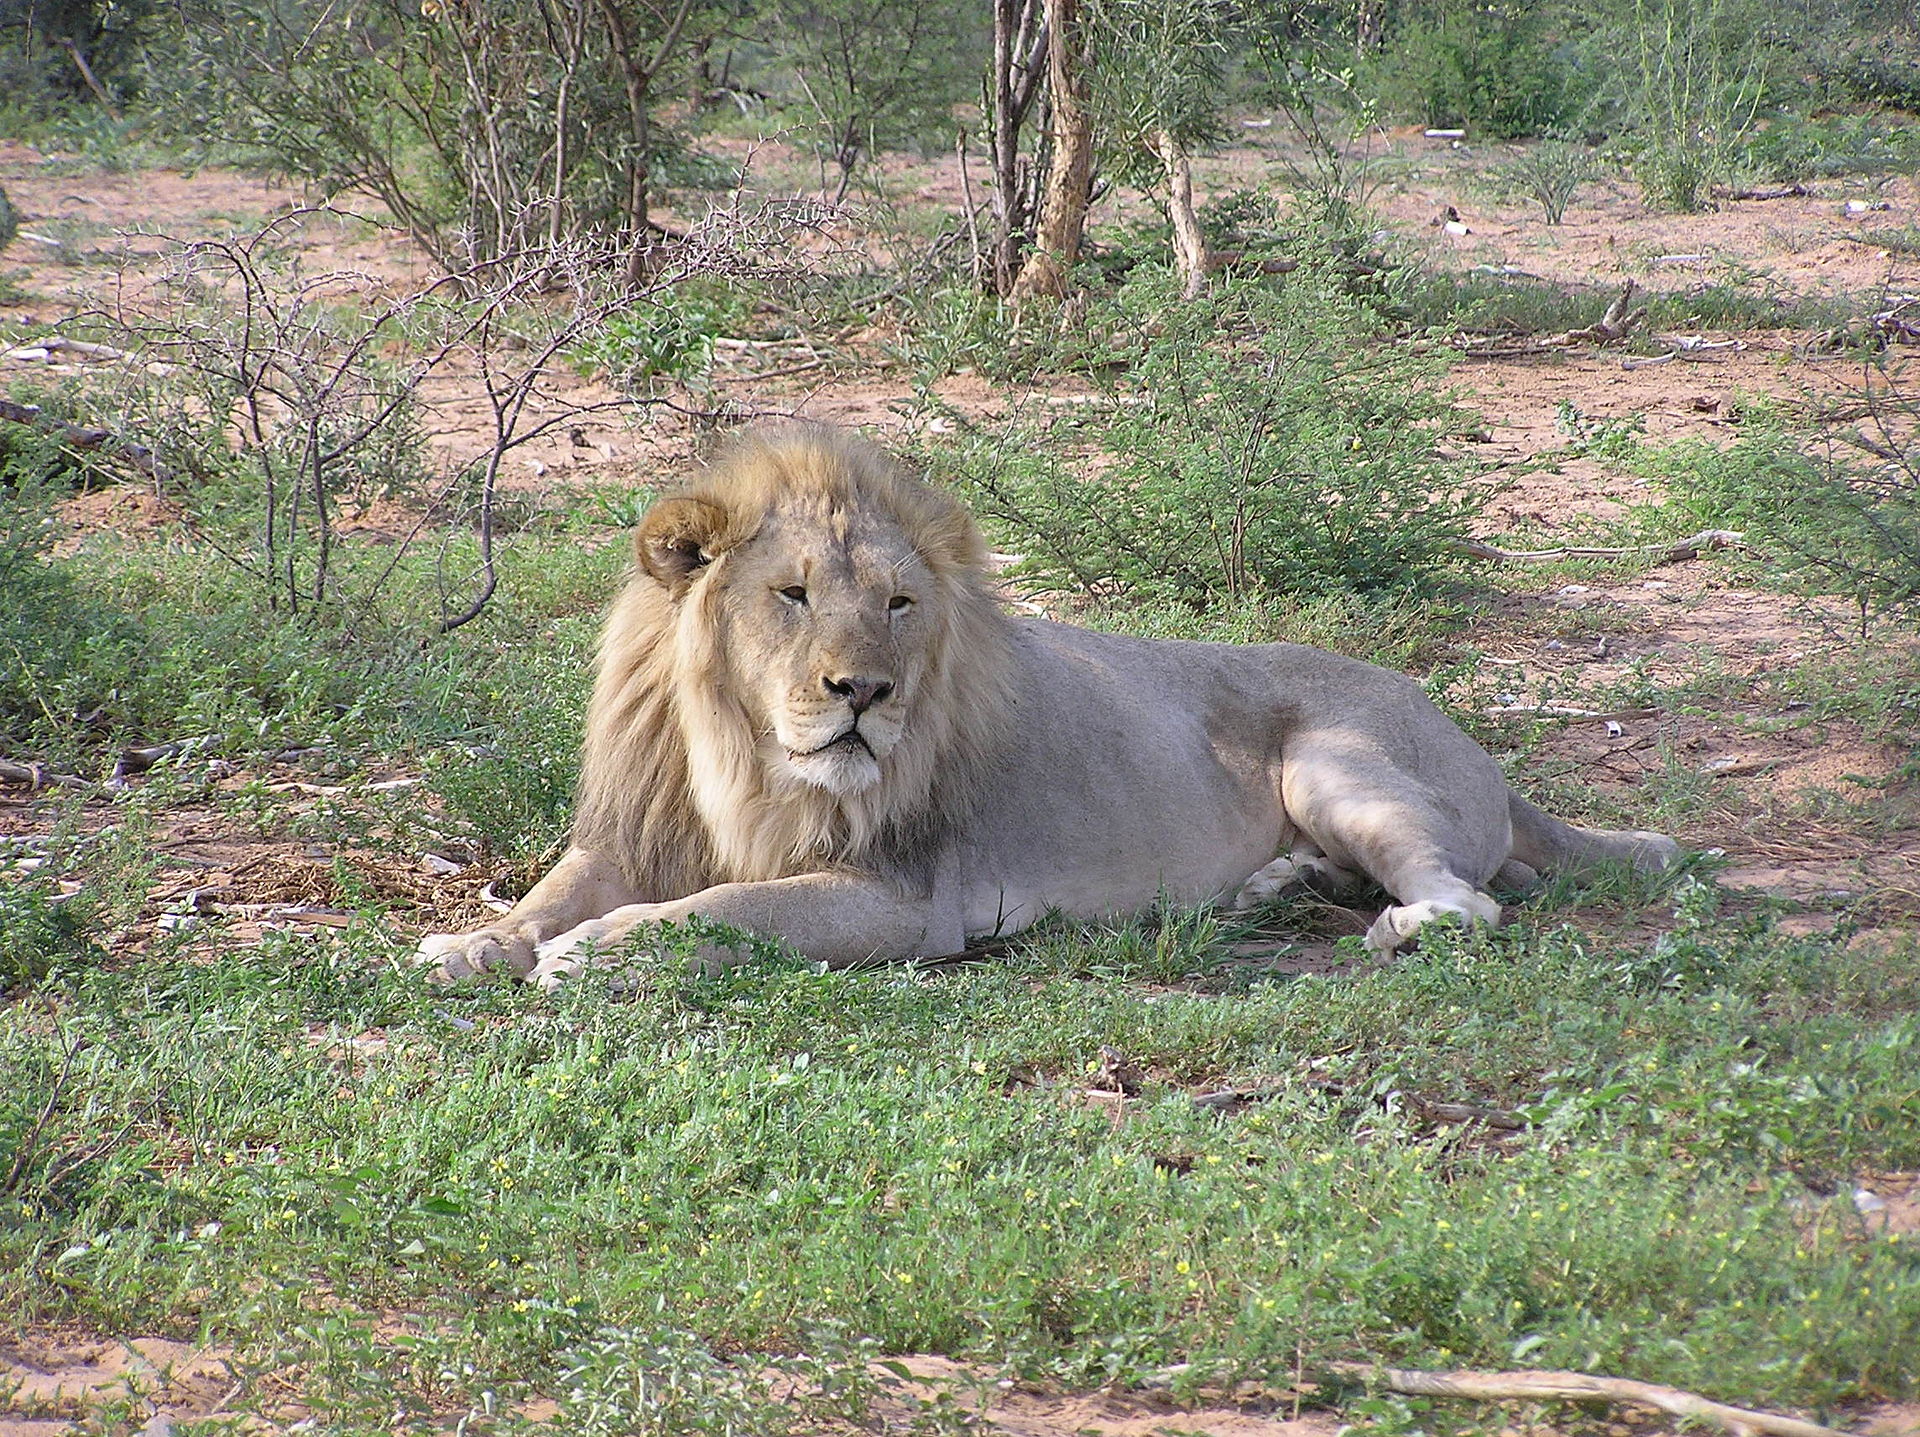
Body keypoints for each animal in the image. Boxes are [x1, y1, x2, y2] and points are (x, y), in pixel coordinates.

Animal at [420, 420, 1681, 991]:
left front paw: (595, 950)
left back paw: (1391, 921)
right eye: (792, 595)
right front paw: (477, 941)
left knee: (1476, 901)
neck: (739, 751)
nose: (863, 693)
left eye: (898, 605)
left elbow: (723, 911)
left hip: (1337, 760)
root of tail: (1481, 748)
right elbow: (554, 889)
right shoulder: (638, 827)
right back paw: (1277, 887)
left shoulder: (901, 899)